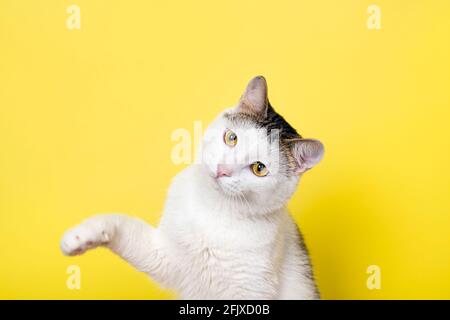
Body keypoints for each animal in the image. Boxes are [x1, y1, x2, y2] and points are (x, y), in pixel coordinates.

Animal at [61, 75, 326, 300]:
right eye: (231, 138)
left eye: (259, 168)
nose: (223, 169)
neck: (212, 207)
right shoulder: (165, 256)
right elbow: (122, 226)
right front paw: (81, 236)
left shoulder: (249, 292)